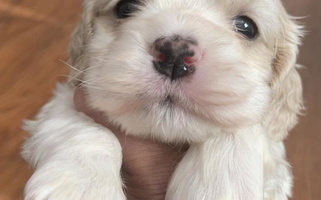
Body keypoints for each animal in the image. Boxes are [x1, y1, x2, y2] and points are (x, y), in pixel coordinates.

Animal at [22, 0, 302, 199]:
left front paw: (221, 188)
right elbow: (87, 127)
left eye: (247, 27)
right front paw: (83, 187)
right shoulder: (67, 97)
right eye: (126, 7)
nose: (175, 55)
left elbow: (239, 126)